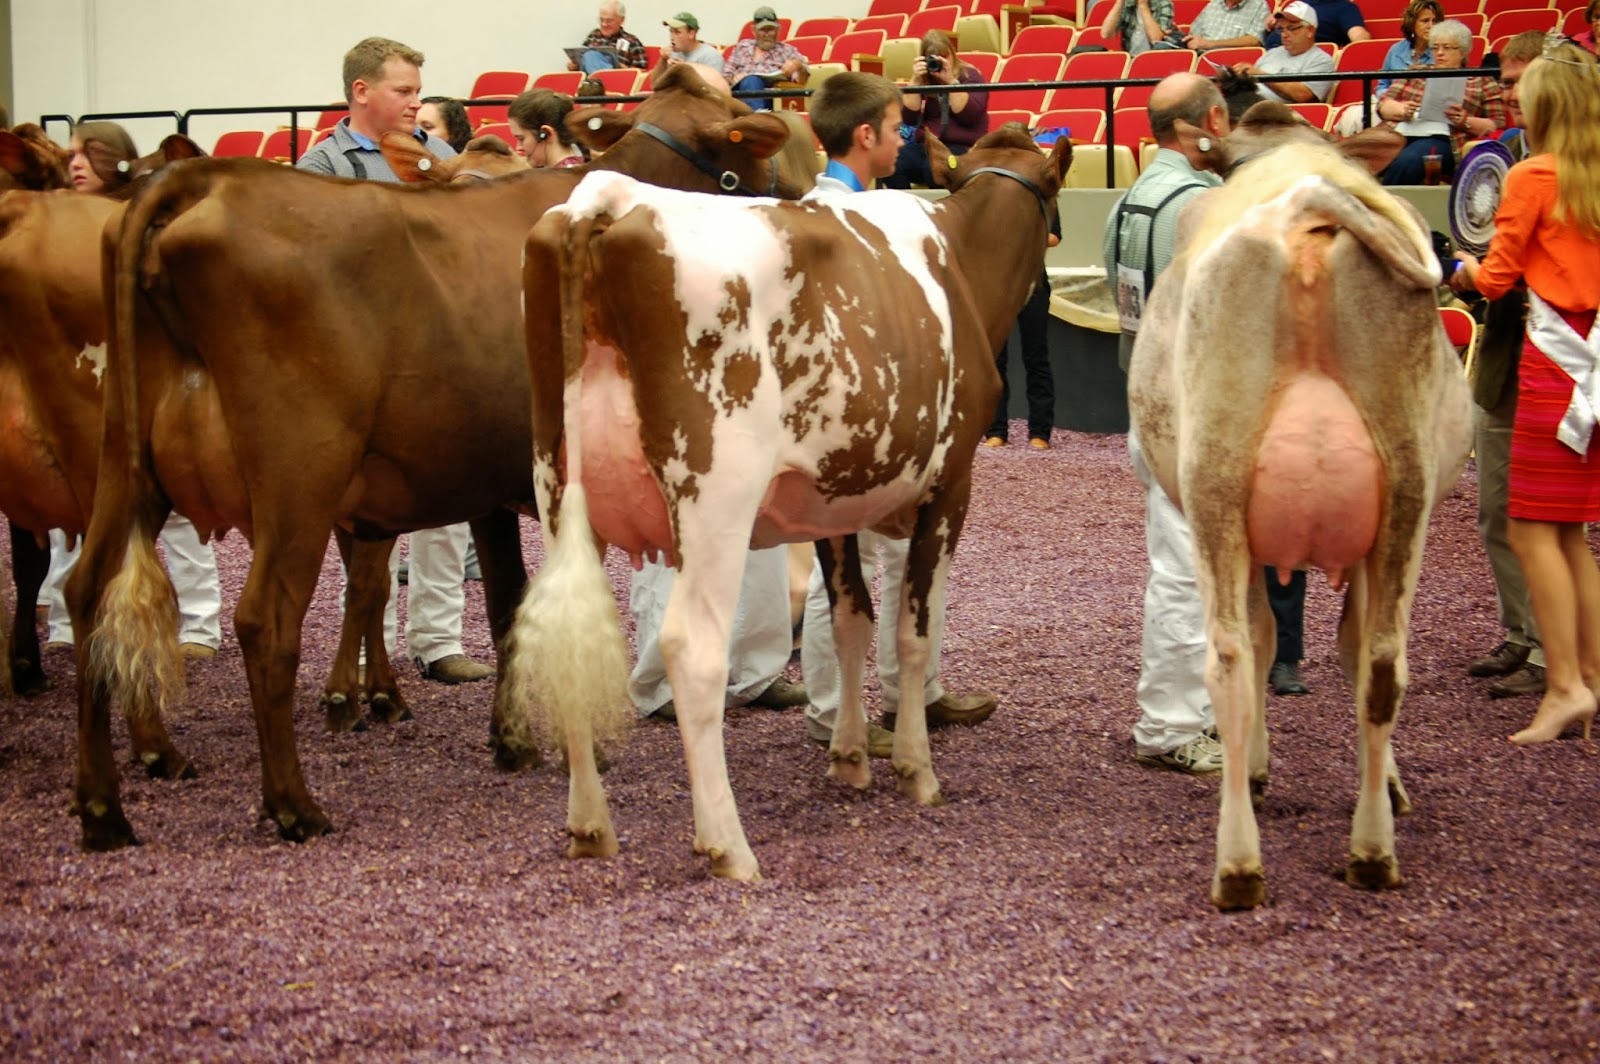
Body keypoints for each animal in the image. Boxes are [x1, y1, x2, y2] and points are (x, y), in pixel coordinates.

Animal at [66, 64, 806, 852]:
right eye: (748, 136)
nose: (800, 196)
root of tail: (203, 176)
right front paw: (581, 746)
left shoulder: (492, 483)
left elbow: (510, 602)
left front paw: (512, 739)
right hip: (299, 470)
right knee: (265, 619)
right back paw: (293, 805)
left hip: (123, 456)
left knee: (88, 590)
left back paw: (106, 802)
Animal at [502, 126, 1072, 880]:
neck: (959, 261)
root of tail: (608, 196)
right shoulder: (951, 483)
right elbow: (912, 634)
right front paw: (916, 769)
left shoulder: (828, 503)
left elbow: (852, 622)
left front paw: (851, 757)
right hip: (715, 494)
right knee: (692, 648)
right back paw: (727, 845)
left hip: (557, 484)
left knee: (565, 646)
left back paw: (590, 826)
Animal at [1126, 128, 1473, 910]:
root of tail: (1305, 197)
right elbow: (1317, 644)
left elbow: (1279, 640)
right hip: (1395, 492)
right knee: (1356, 660)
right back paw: (1325, 854)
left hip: (1228, 482)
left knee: (1256, 658)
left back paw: (1269, 861)